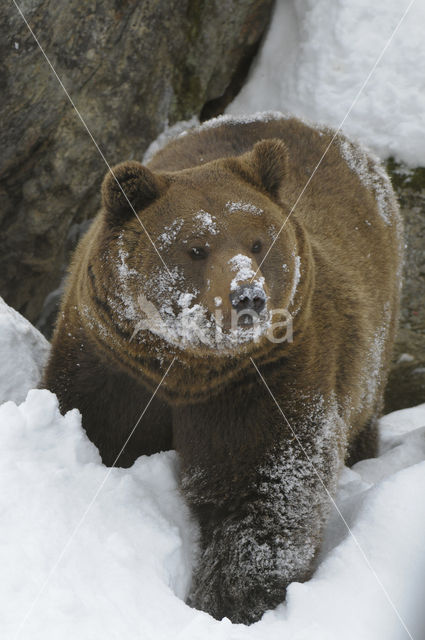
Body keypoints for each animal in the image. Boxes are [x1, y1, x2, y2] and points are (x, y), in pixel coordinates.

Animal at [41, 115, 402, 624]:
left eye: (258, 241)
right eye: (196, 247)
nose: (248, 296)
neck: (187, 370)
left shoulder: (266, 379)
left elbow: (263, 492)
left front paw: (232, 602)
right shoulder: (109, 365)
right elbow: (98, 424)